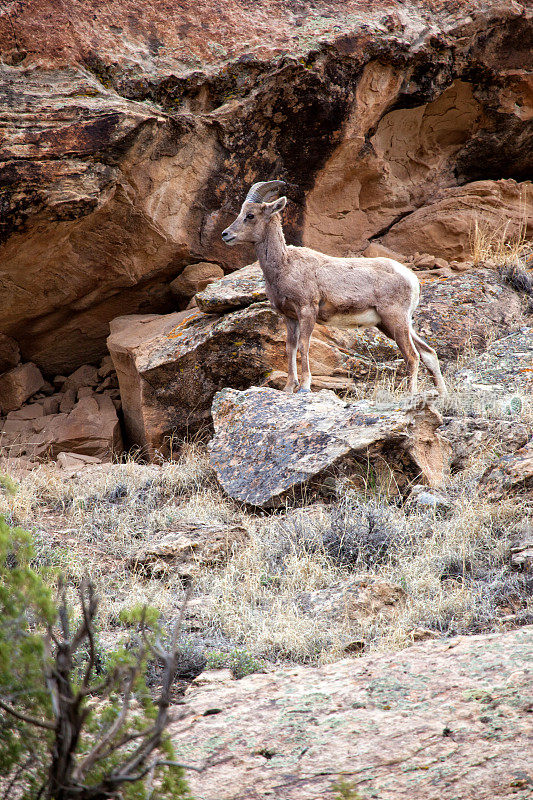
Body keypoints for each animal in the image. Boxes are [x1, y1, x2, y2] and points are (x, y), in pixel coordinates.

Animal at [220, 180, 444, 396]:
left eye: (250, 215)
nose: (225, 234)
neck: (285, 266)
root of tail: (412, 279)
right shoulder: (289, 317)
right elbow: (290, 348)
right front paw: (288, 388)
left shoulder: (307, 310)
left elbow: (304, 345)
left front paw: (304, 387)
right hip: (392, 324)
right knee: (428, 353)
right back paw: (442, 394)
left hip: (395, 319)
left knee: (412, 356)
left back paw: (410, 394)